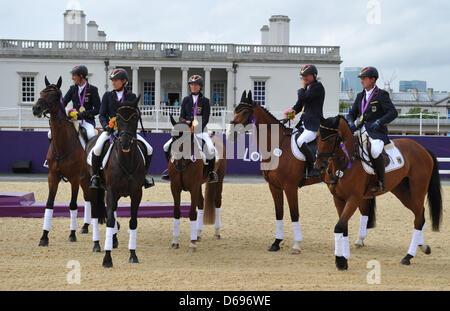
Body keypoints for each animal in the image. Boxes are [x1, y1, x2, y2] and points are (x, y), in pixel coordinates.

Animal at [33, 78, 94, 249]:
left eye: (54, 95)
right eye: (41, 92)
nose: (36, 108)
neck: (63, 143)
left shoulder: (73, 178)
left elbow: (73, 205)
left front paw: (72, 234)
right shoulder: (53, 176)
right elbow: (49, 204)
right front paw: (44, 237)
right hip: (84, 179)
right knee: (88, 198)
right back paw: (85, 226)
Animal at [90, 95, 147, 268]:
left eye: (134, 117)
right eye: (118, 118)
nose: (125, 142)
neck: (126, 160)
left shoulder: (136, 193)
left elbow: (133, 222)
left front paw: (133, 255)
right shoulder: (111, 191)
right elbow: (109, 221)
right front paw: (107, 259)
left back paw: (113, 241)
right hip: (96, 189)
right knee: (95, 213)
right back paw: (97, 245)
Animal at [168, 116, 227, 252]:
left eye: (186, 138)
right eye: (173, 137)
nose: (178, 164)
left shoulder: (193, 187)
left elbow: (192, 213)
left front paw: (192, 244)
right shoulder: (175, 188)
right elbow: (176, 212)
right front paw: (175, 242)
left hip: (219, 179)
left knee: (217, 202)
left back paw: (216, 233)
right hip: (199, 184)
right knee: (201, 203)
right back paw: (198, 234)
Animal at [227, 91, 378, 256]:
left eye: (244, 112)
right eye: (235, 110)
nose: (229, 134)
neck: (277, 147)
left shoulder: (290, 187)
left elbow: (294, 214)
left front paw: (297, 245)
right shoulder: (274, 186)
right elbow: (279, 213)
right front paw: (276, 243)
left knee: (364, 209)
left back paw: (359, 241)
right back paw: (359, 240)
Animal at [312, 116, 442, 272]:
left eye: (331, 139)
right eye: (317, 137)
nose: (318, 166)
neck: (345, 163)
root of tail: (422, 149)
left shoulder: (353, 199)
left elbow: (339, 226)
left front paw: (340, 261)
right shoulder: (338, 199)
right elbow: (344, 228)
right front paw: (344, 259)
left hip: (418, 191)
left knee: (418, 219)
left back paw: (408, 256)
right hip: (403, 192)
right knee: (420, 215)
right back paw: (423, 247)